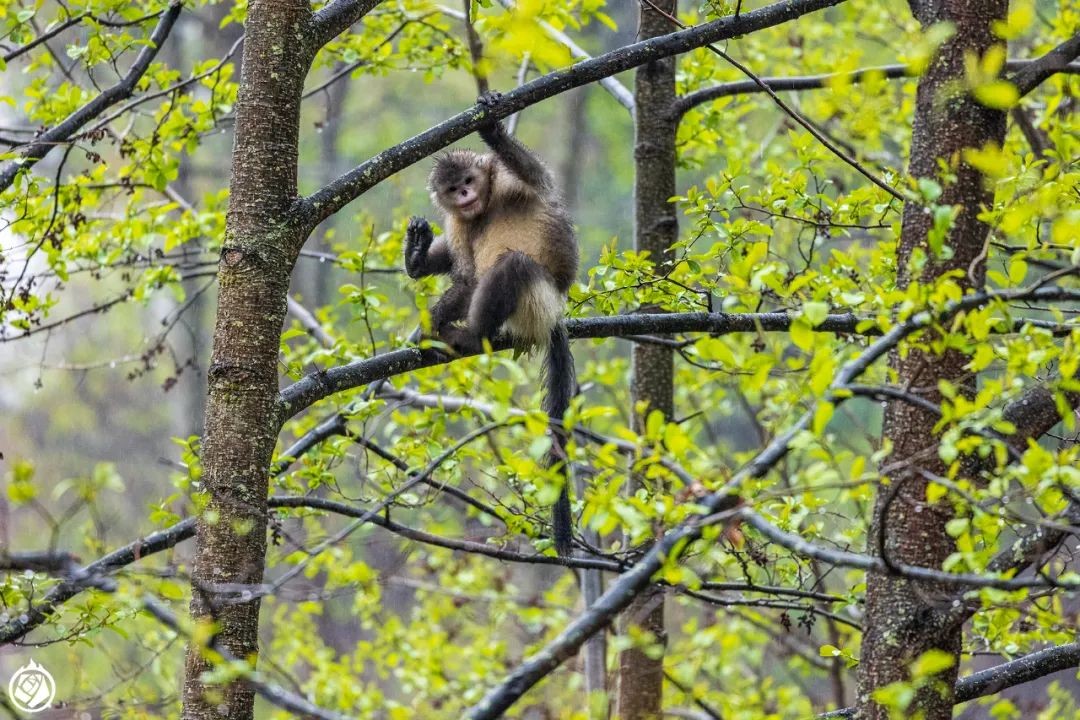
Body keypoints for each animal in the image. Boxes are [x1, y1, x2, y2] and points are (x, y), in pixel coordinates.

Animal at [403, 92, 583, 557]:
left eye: (470, 180)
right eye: (454, 189)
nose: (465, 194)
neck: (483, 207)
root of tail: (556, 313)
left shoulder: (507, 181)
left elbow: (536, 176)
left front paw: (492, 127)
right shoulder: (458, 221)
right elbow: (465, 277)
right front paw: (418, 259)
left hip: (537, 301)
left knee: (513, 267)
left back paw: (471, 335)